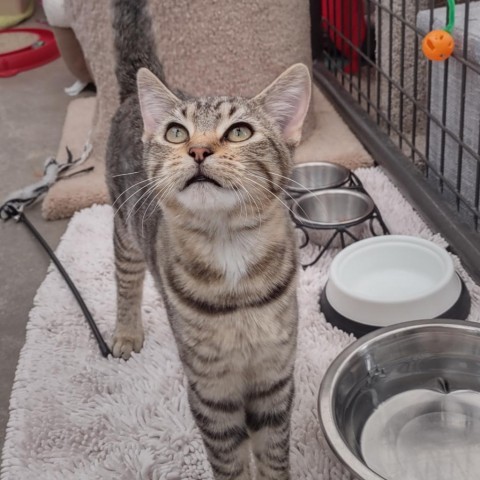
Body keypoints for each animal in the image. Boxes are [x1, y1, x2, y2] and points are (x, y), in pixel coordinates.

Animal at [107, 0, 314, 476]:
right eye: (176, 133)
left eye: (239, 131)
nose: (197, 150)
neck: (229, 246)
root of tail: (131, 96)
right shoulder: (210, 391)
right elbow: (230, 462)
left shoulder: (275, 379)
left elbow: (273, 456)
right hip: (124, 227)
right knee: (126, 282)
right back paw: (127, 330)